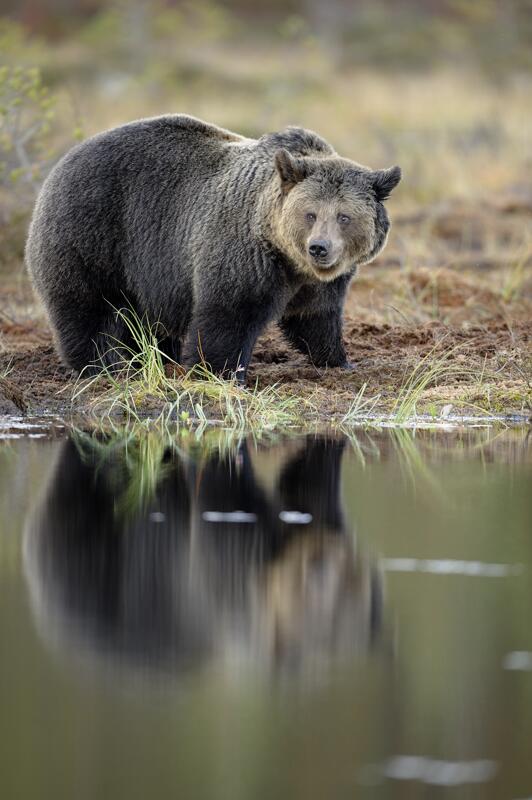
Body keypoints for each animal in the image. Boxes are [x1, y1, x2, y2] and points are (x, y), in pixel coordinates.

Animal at [25, 114, 400, 380]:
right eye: (310, 214)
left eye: (344, 217)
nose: (319, 248)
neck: (289, 261)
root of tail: (61, 163)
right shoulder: (244, 256)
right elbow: (228, 316)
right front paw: (218, 372)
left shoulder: (321, 282)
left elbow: (316, 318)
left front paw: (340, 361)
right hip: (93, 233)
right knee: (87, 307)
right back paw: (100, 365)